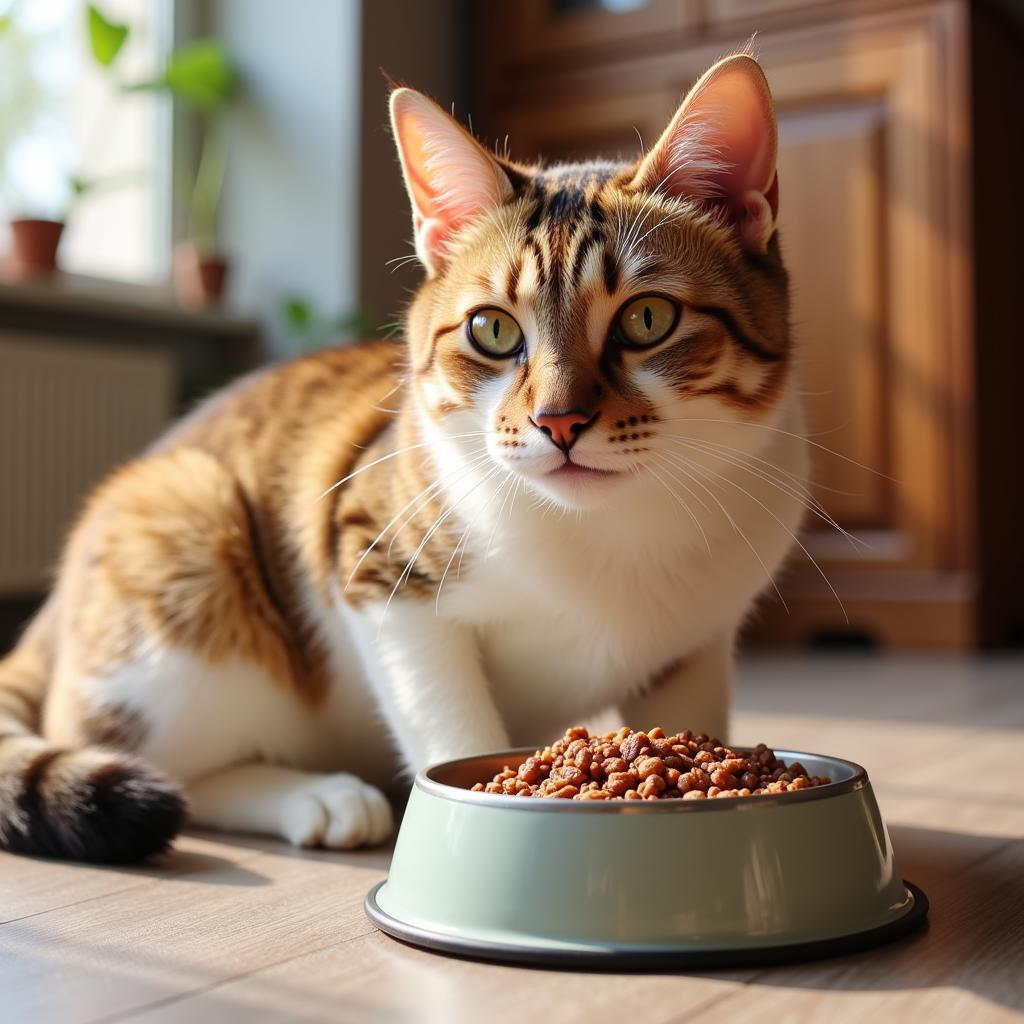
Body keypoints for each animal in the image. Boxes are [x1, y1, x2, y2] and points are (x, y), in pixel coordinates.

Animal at [0, 51, 806, 860]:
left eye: (647, 319)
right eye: (492, 329)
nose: (559, 421)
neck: (605, 529)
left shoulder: (694, 648)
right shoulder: (375, 563)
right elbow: (449, 722)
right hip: (183, 557)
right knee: (166, 766)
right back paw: (319, 797)